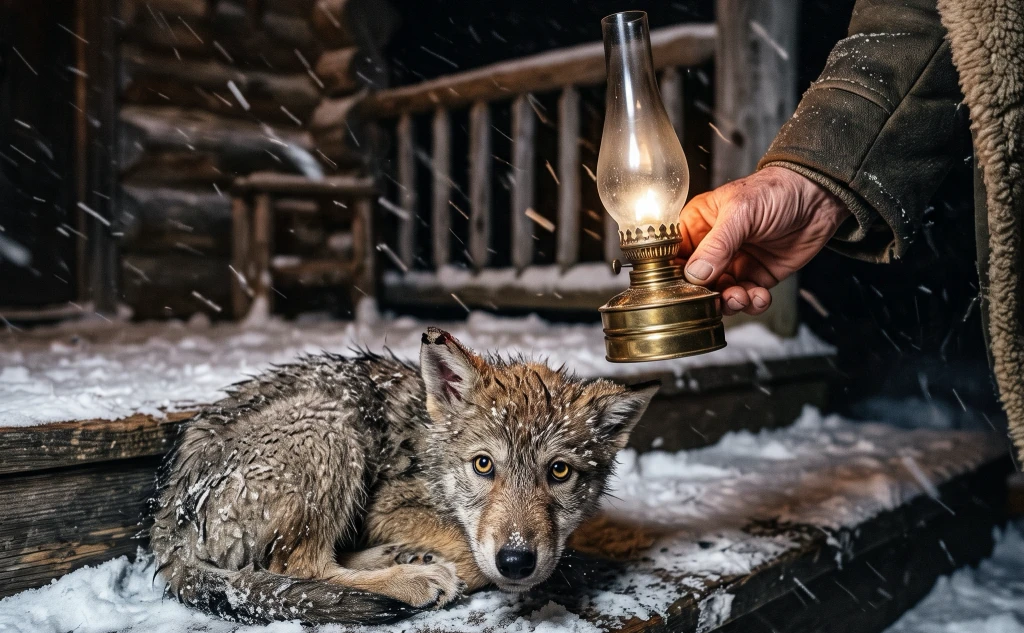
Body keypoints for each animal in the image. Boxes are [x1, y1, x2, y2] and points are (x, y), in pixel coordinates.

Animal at [150, 327, 658, 625]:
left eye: (558, 471)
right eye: (483, 465)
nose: (516, 561)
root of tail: (167, 524)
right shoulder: (386, 506)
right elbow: (473, 557)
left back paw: (398, 558)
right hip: (331, 424)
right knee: (294, 566)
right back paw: (413, 577)